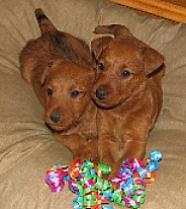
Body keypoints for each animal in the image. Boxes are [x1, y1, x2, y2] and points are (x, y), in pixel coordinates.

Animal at [19, 9, 96, 161]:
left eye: (75, 93)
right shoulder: (57, 132)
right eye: (49, 91)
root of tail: (50, 32)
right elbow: (74, 138)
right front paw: (85, 151)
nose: (54, 118)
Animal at [91, 23, 164, 176]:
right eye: (101, 66)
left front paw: (114, 179)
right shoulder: (105, 137)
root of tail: (131, 37)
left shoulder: (136, 141)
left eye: (125, 73)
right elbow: (108, 160)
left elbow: (122, 162)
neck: (121, 111)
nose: (99, 93)